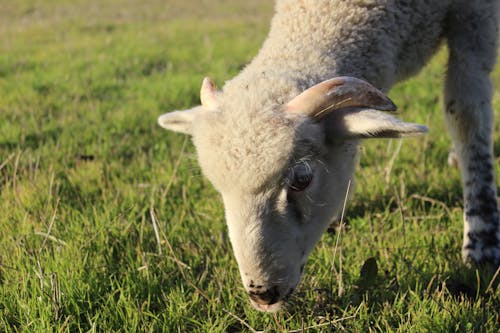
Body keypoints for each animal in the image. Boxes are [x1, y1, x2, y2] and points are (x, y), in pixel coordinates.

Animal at [157, 0, 500, 312]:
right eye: (219, 189)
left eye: (302, 179)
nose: (261, 294)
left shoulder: (476, 13)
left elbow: (466, 114)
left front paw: (481, 241)